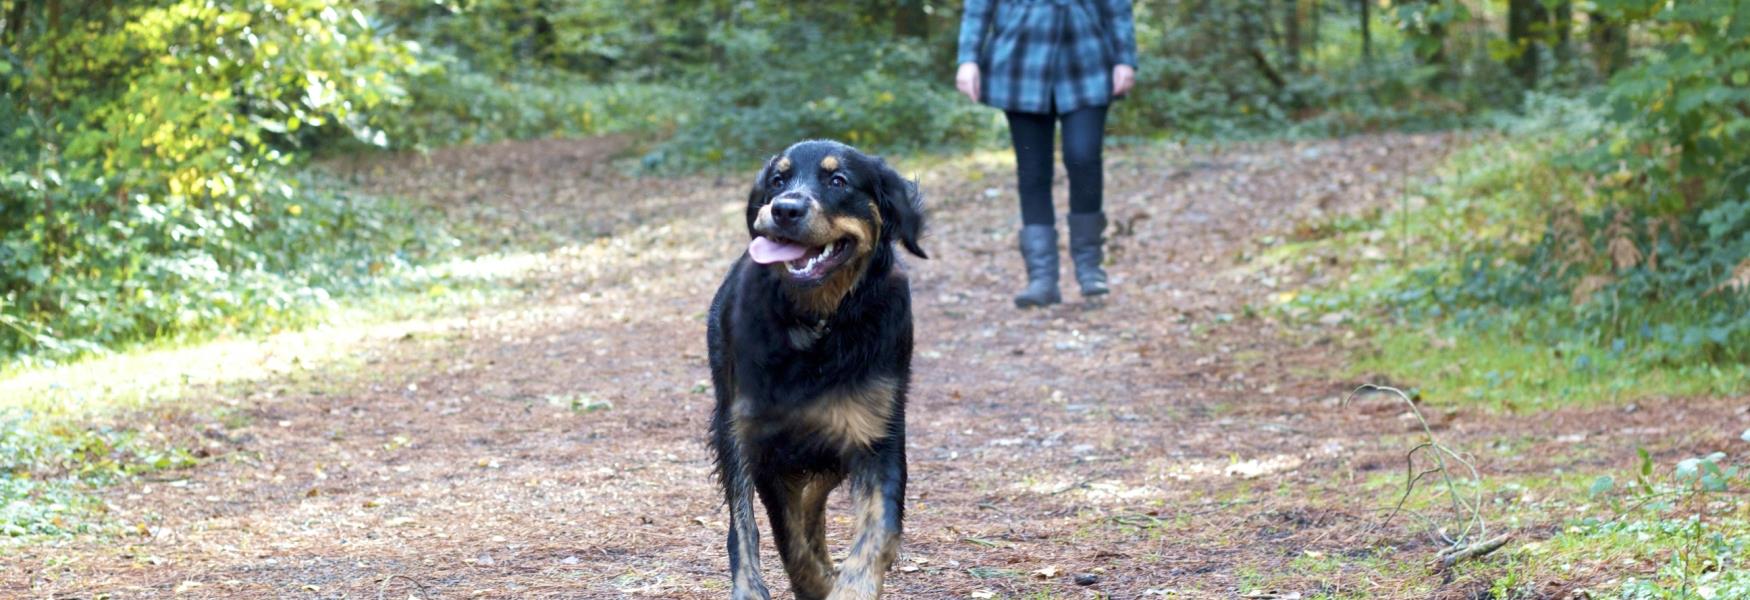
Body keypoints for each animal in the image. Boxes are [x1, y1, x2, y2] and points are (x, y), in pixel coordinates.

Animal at [707, 142, 931, 600]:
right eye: (778, 180)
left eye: (838, 181)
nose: (784, 209)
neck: (818, 324)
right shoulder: (763, 440)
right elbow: (784, 536)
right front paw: (813, 583)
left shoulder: (875, 434)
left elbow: (878, 533)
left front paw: (846, 588)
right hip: (730, 423)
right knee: (747, 522)